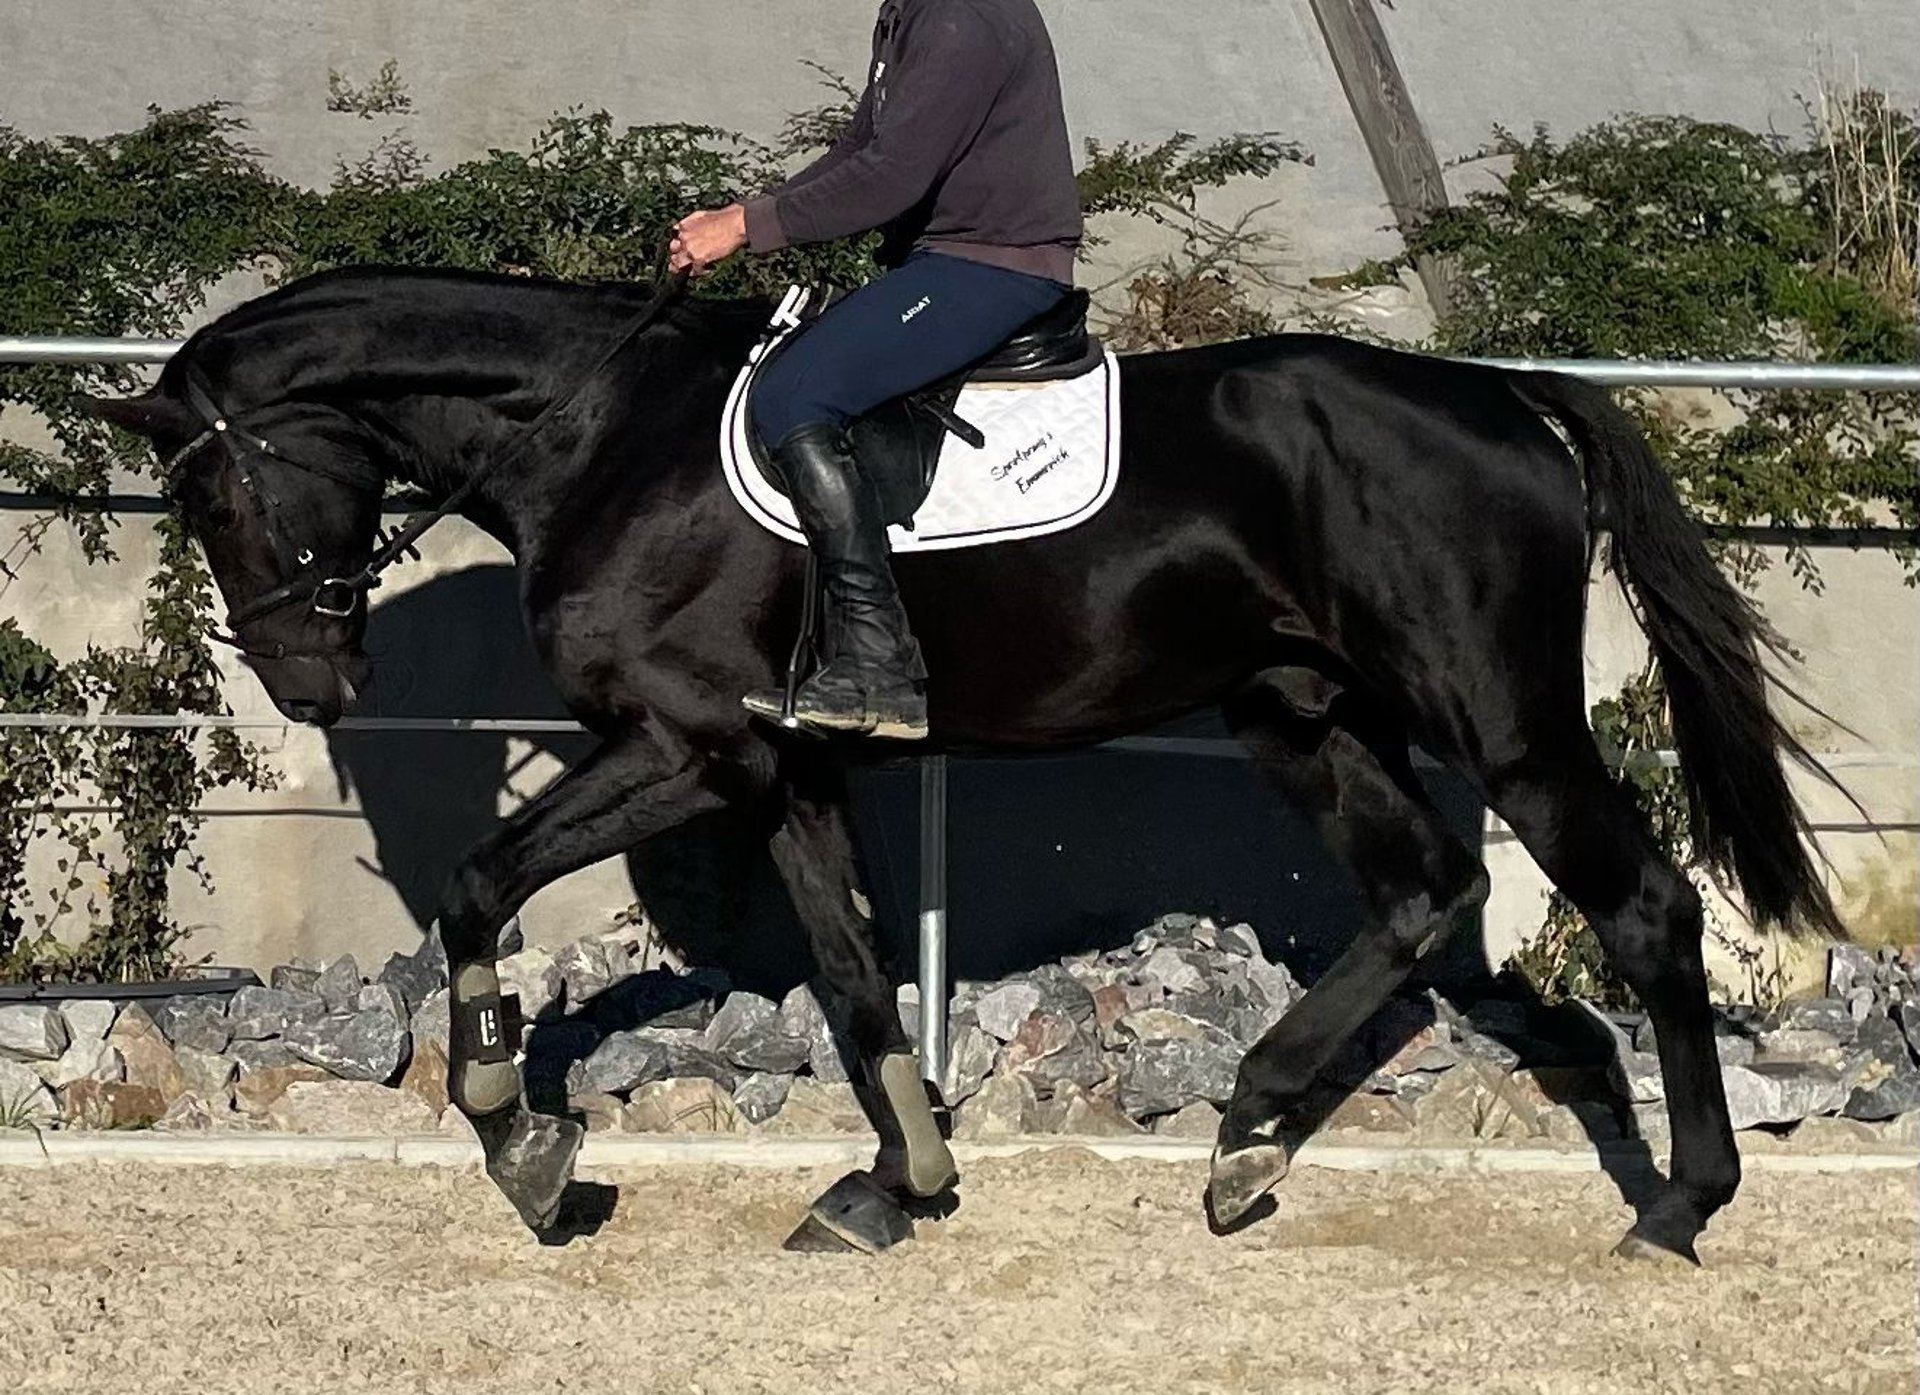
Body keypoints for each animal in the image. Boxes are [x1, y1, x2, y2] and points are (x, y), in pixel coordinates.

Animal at [86, 263, 1840, 1263]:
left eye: (216, 495)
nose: (310, 676)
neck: (601, 435)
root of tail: (1497, 398)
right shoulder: (783, 773)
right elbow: (854, 972)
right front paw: (895, 1181)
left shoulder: (691, 746)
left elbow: (477, 884)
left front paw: (523, 1138)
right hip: (1304, 711)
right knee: (1424, 889)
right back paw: (1249, 1136)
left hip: (1507, 724)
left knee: (1643, 906)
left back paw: (1677, 1203)